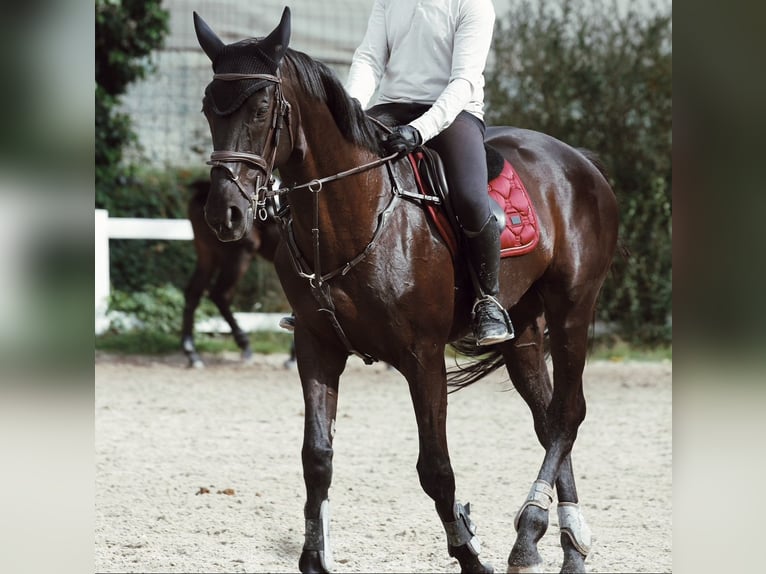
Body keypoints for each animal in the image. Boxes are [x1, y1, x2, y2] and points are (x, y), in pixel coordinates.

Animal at [181, 178, 294, 368]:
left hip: (207, 255)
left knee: (194, 292)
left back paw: (192, 352)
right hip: (239, 254)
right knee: (220, 294)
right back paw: (243, 343)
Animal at [193, 7, 618, 573]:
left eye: (262, 108)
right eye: (207, 107)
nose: (226, 214)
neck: (354, 211)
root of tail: (581, 162)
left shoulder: (423, 356)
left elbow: (435, 467)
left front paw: (469, 552)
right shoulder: (316, 346)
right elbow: (316, 458)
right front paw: (314, 557)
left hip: (573, 308)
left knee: (568, 413)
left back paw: (531, 531)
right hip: (524, 330)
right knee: (549, 419)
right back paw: (567, 543)